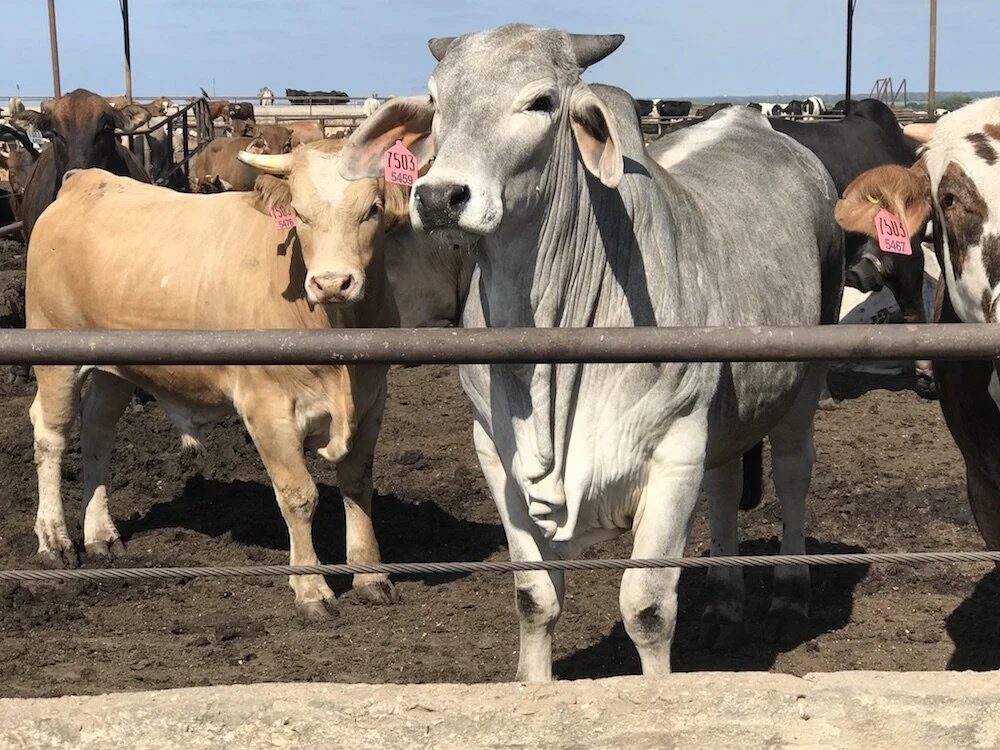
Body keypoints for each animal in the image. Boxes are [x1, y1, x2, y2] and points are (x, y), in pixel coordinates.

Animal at [25, 139, 408, 618]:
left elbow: (357, 484)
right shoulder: (267, 407)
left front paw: (371, 576)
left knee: (98, 428)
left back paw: (101, 535)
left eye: (372, 209)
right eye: (299, 213)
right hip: (54, 354)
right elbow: (299, 495)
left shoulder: (373, 398)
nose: (332, 283)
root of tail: (84, 181)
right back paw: (54, 540)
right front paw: (311, 589)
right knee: (52, 435)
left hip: (116, 367)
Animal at [340, 23, 843, 680]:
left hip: (804, 380)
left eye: (541, 102)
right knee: (726, 483)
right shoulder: (494, 453)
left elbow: (648, 608)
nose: (439, 196)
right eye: (435, 101)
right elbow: (535, 597)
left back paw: (788, 593)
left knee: (791, 472)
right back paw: (726, 605)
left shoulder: (675, 448)